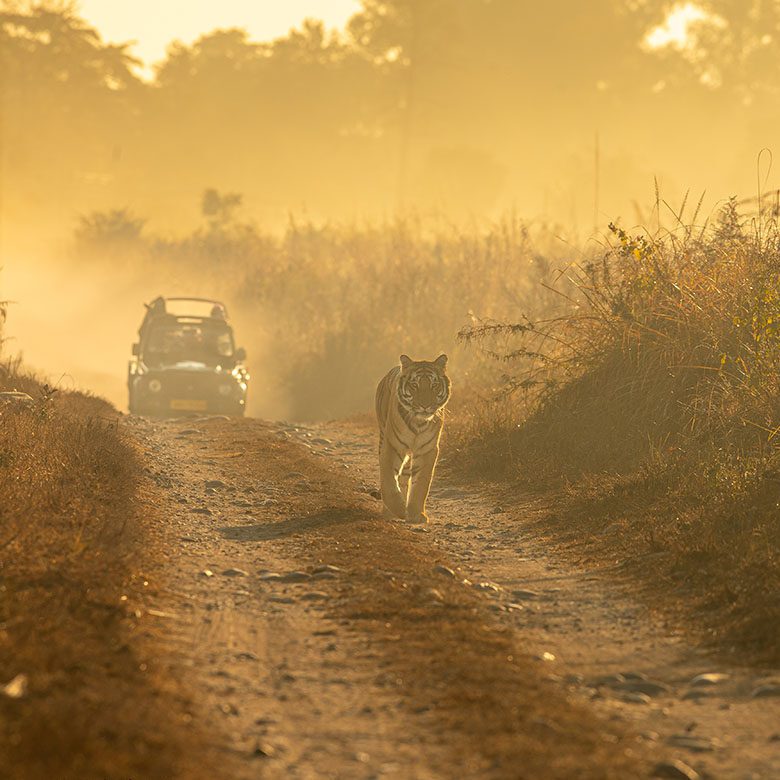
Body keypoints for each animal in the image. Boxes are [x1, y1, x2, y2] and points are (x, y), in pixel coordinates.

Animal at [375, 354, 451, 524]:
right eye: (414, 385)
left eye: (434, 385)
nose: (425, 406)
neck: (418, 422)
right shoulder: (392, 446)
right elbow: (388, 480)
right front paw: (398, 509)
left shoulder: (427, 450)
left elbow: (421, 484)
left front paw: (416, 514)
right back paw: (389, 511)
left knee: (403, 477)